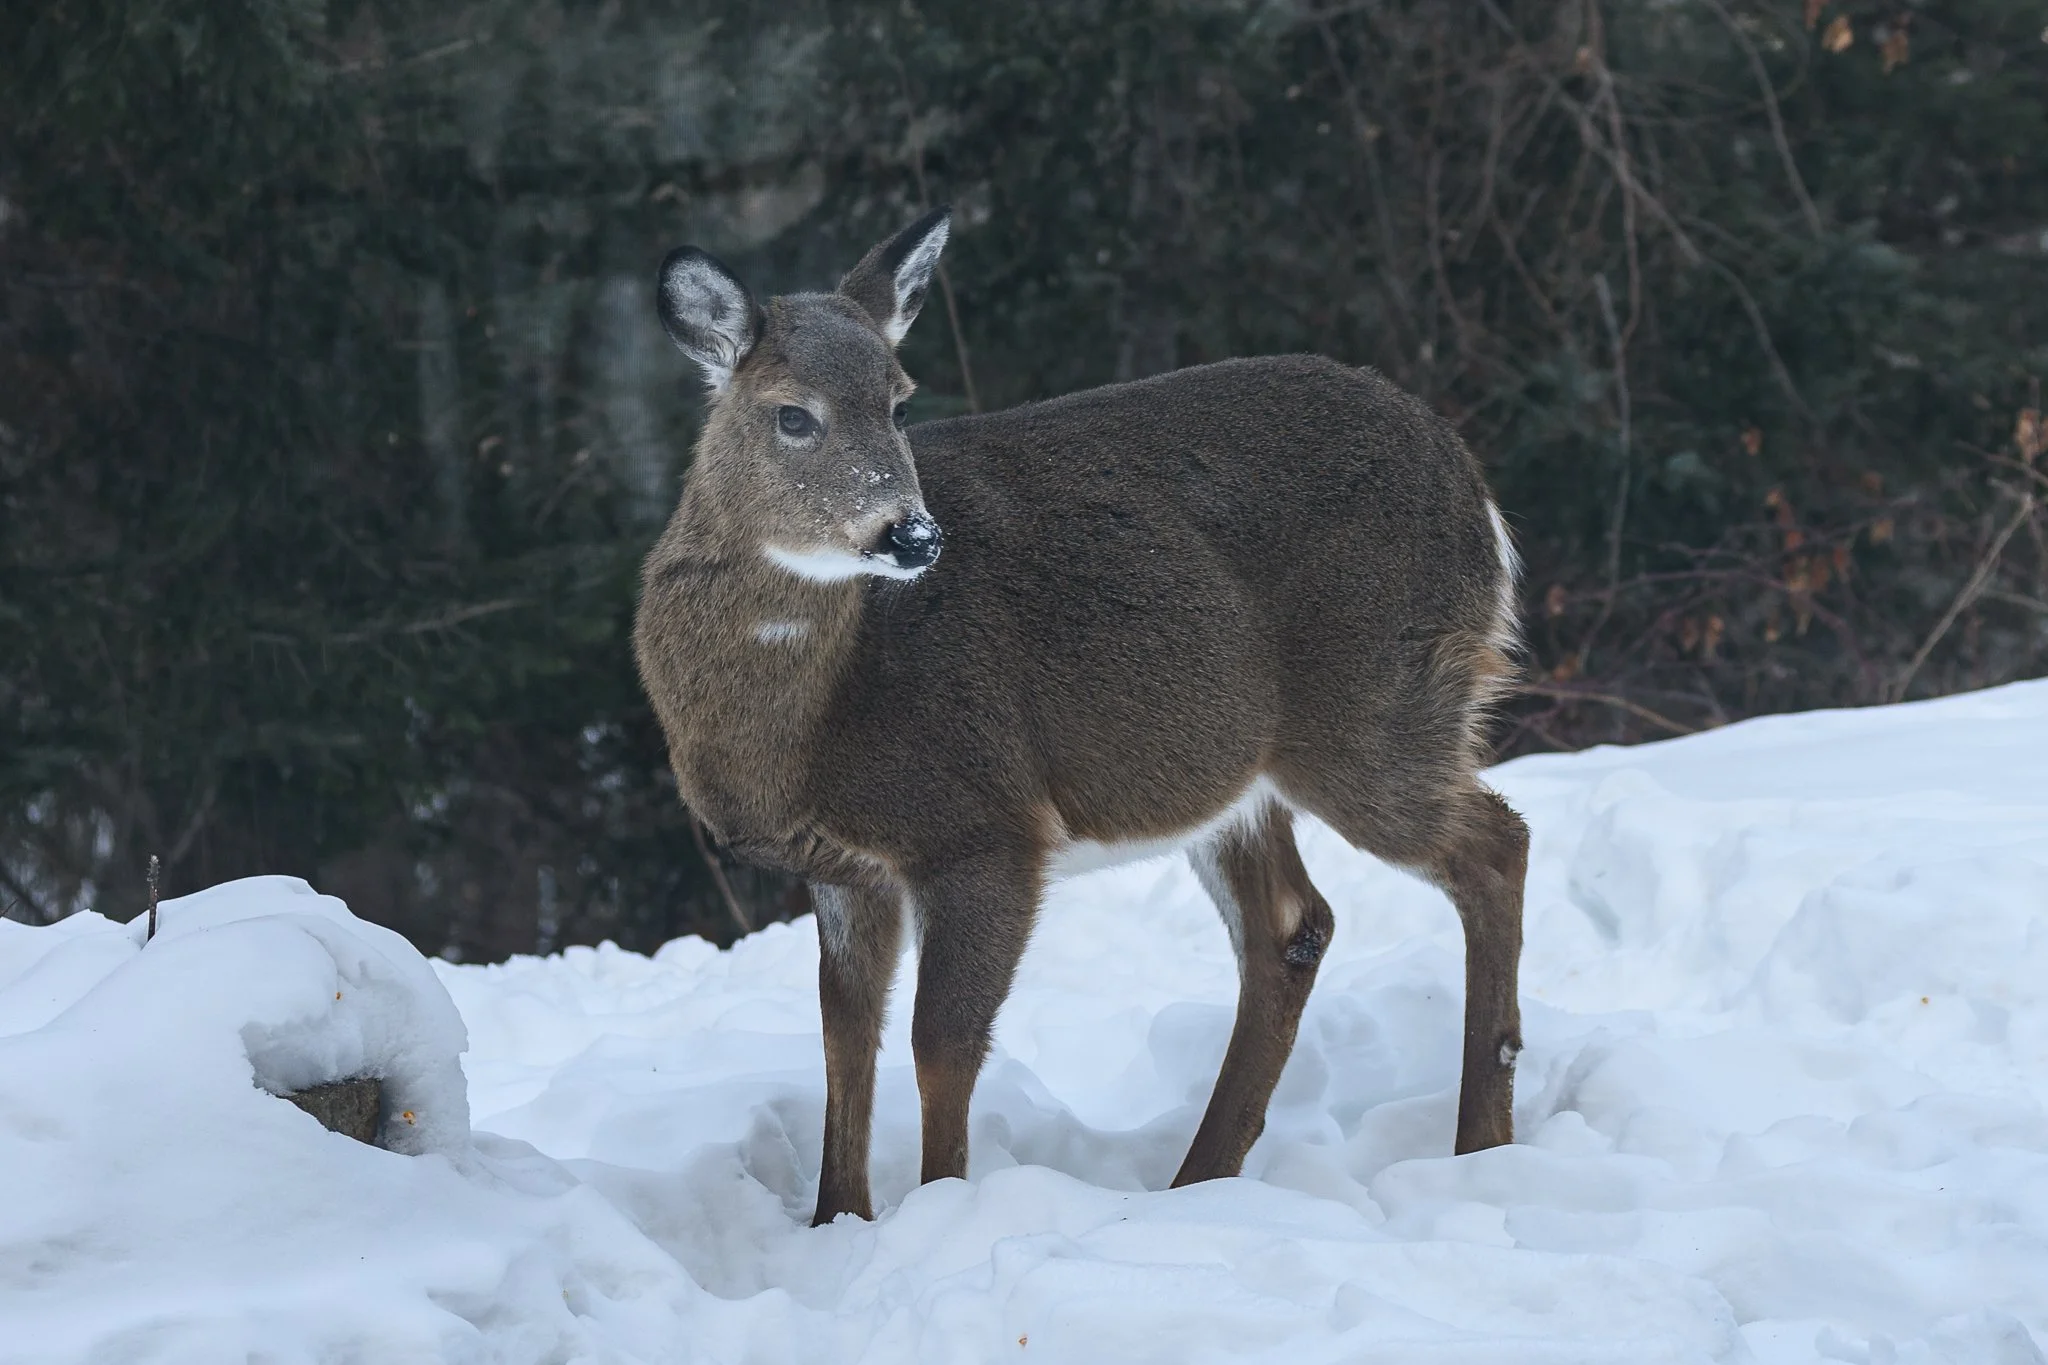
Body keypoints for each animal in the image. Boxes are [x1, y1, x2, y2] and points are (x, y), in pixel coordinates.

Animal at [633, 207, 1529, 1227]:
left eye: (899, 403)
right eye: (793, 413)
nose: (914, 534)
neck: (813, 719)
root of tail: (1481, 500)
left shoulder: (986, 825)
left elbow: (941, 1042)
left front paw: (941, 1209)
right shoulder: (842, 870)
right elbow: (842, 1041)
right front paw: (836, 1222)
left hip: (1377, 710)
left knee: (1495, 845)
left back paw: (1478, 1147)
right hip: (1235, 776)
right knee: (1294, 925)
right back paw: (1198, 1181)